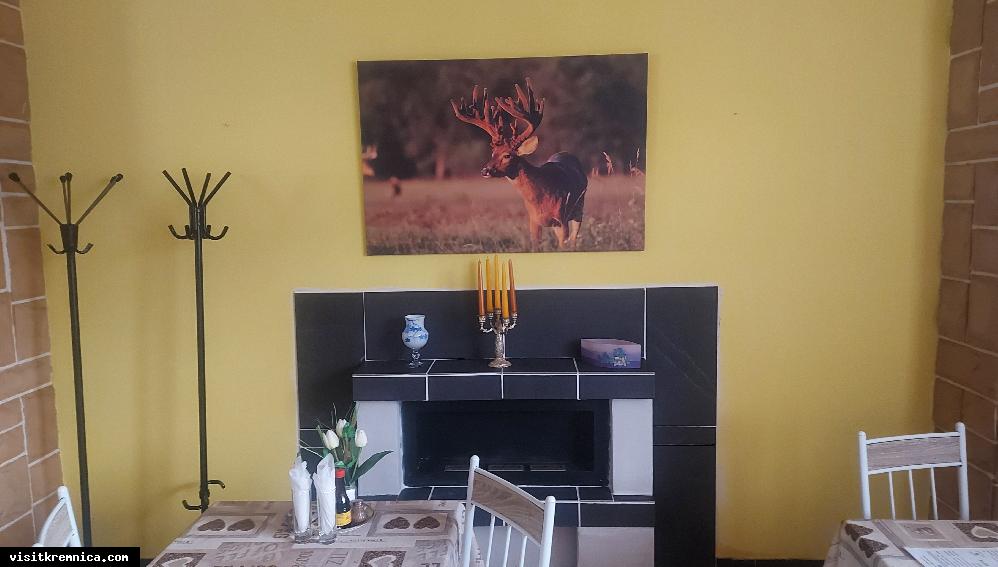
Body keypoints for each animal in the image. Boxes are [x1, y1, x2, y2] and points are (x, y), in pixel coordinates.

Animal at [451, 78, 587, 249]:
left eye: (507, 155)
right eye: (493, 153)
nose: (485, 170)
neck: (542, 196)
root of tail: (565, 153)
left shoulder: (562, 218)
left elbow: (564, 246)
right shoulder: (533, 221)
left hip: (578, 209)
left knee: (574, 239)